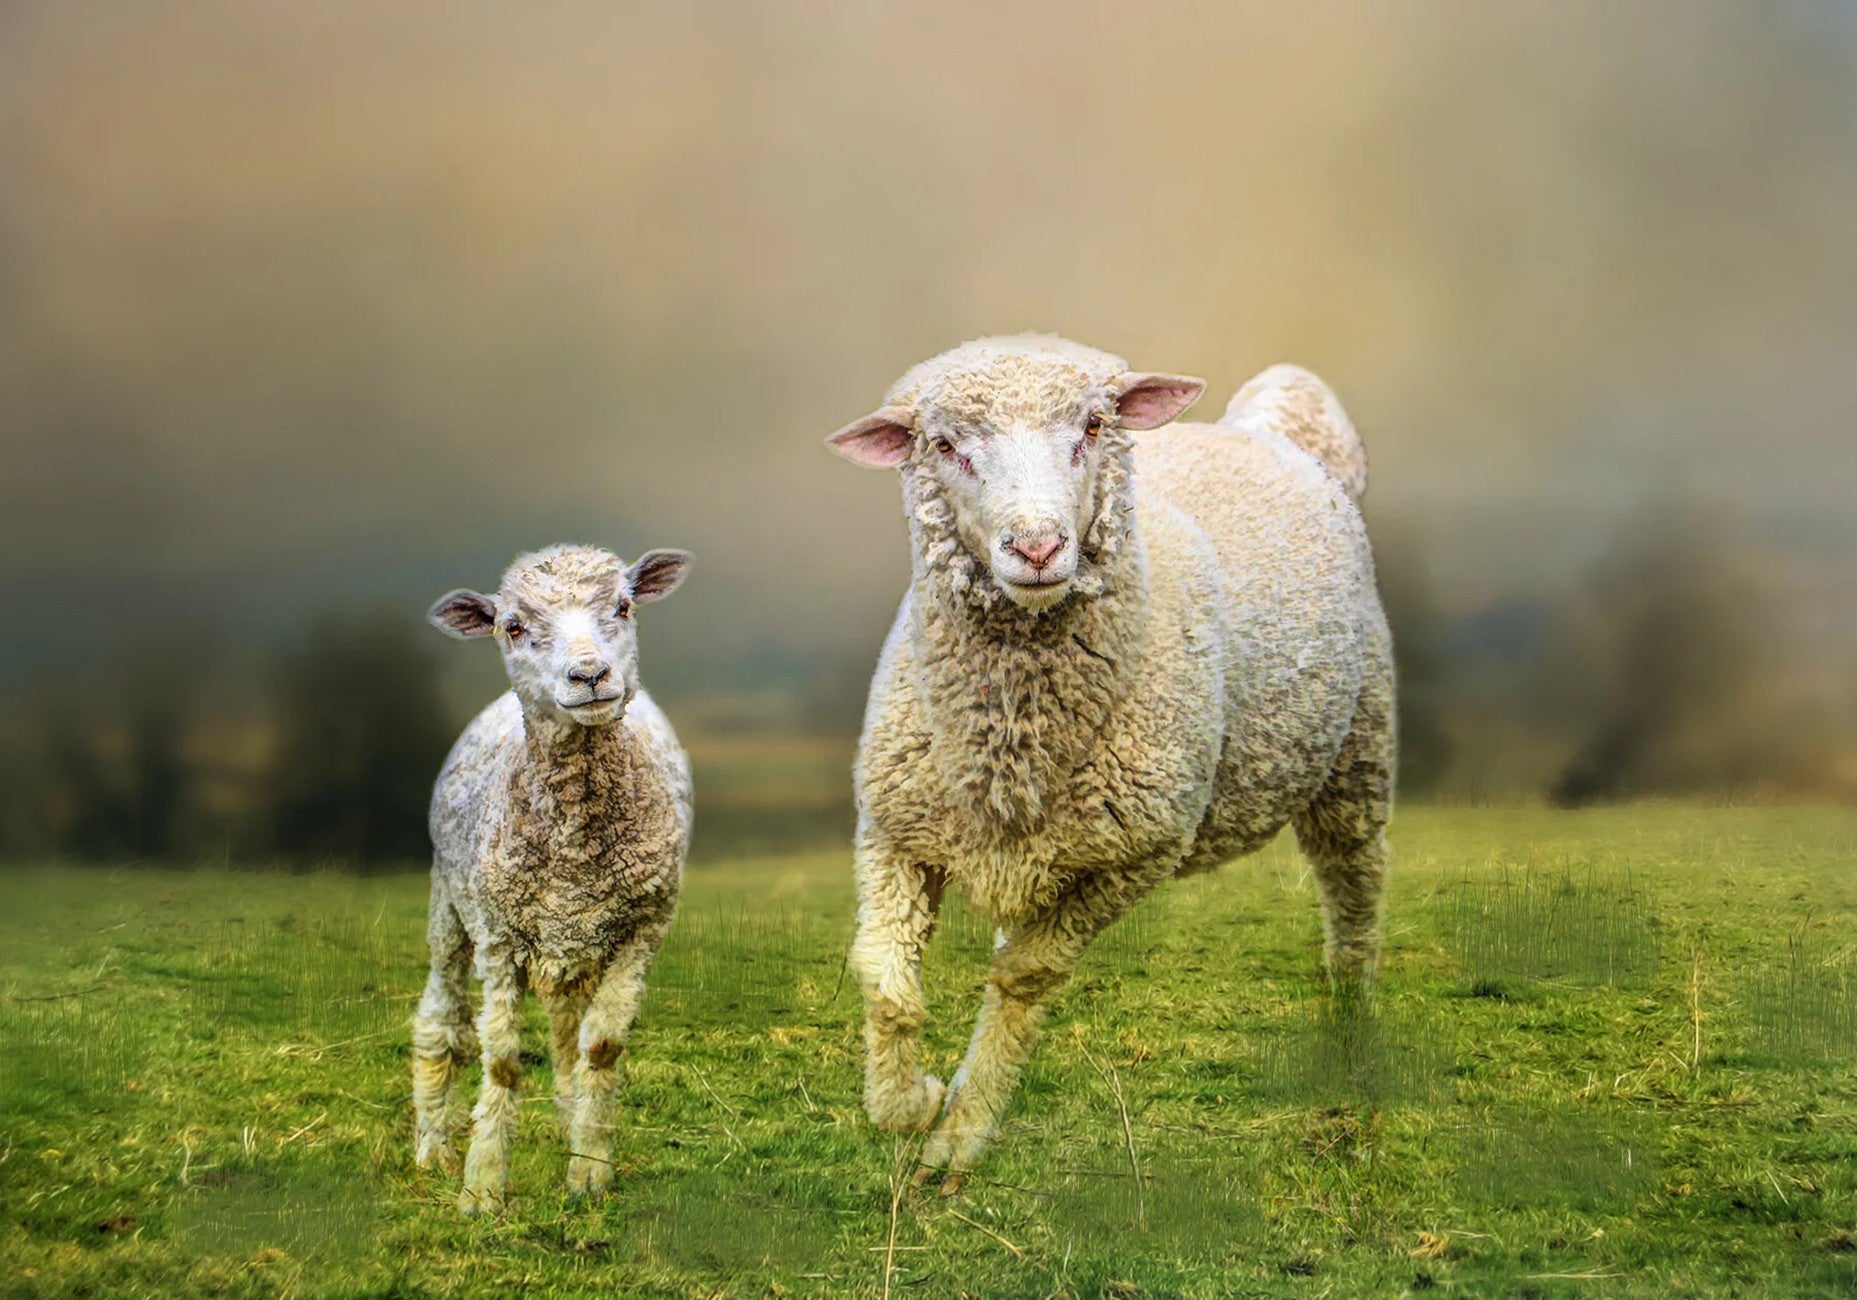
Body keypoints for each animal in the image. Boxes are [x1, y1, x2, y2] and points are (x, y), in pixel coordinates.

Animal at [412, 543, 694, 1216]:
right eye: (512, 627)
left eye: (624, 607)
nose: (589, 676)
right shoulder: (498, 937)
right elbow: (503, 1063)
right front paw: (483, 1185)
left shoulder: (643, 929)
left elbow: (601, 1048)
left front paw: (589, 1170)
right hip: (450, 909)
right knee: (439, 1019)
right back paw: (433, 1145)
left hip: (576, 941)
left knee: (568, 1031)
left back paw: (571, 1112)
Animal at [825, 335, 1393, 1189]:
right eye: (944, 445)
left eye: (1093, 426)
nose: (1036, 547)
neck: (1014, 739)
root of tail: (1262, 426)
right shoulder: (894, 829)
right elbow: (882, 980)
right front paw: (912, 1100)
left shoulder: (1133, 857)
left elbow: (1023, 980)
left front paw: (961, 1131)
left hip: (1358, 747)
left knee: (1352, 885)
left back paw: (1350, 1019)